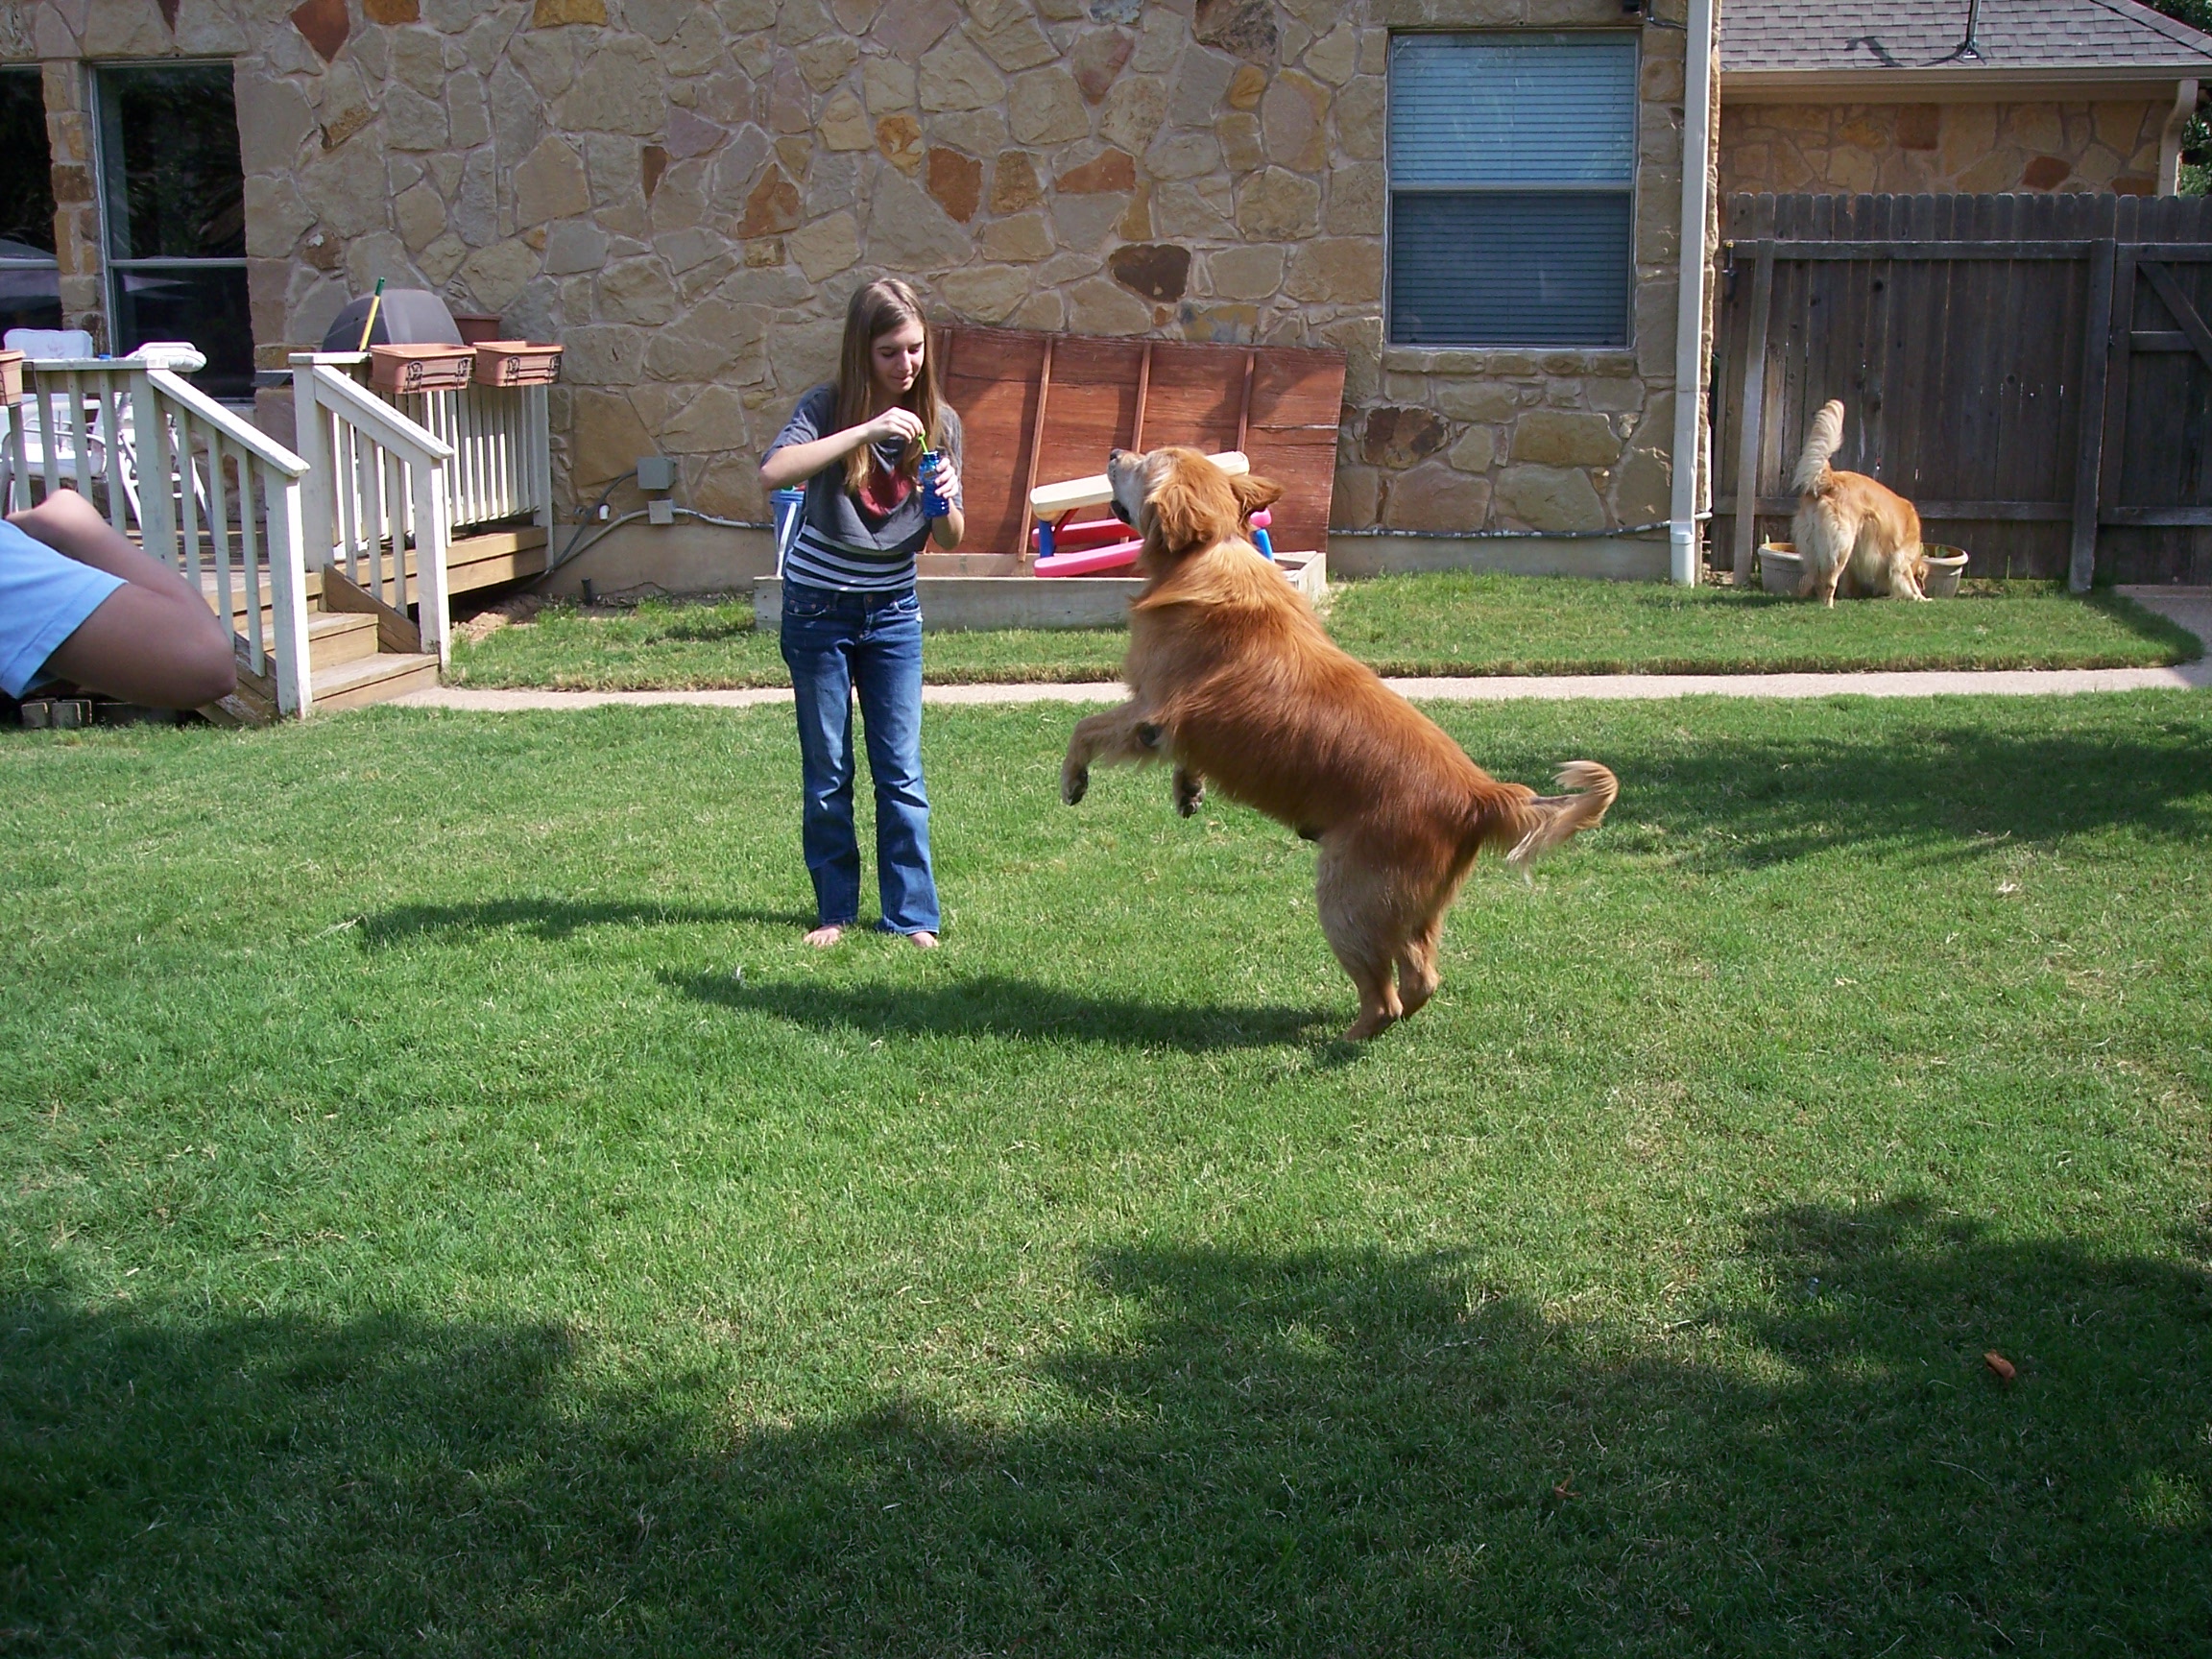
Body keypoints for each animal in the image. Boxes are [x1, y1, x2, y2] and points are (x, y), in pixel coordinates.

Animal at [1059, 446, 1618, 1041]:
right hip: (1410, 909)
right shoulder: (1178, 730)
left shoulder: (1150, 715)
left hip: (1347, 900)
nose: (1115, 452)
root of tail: (1480, 795)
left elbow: (1085, 727)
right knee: (1421, 978)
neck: (1210, 553)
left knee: (1385, 996)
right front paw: (1188, 790)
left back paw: (1343, 1038)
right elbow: (1181, 757)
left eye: (1147, 462)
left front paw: (1074, 779)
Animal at [1791, 399, 1929, 605]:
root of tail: (1831, 479)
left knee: (1815, 578)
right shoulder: (1900, 558)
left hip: (1814, 547)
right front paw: (1920, 597)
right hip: (1842, 545)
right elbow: (1908, 580)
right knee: (1829, 581)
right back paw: (1828, 606)